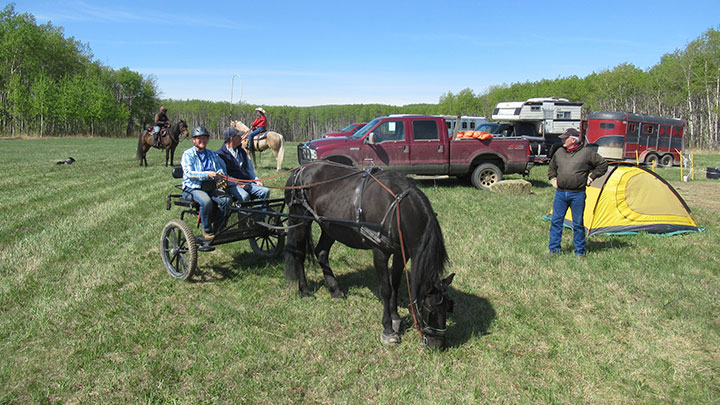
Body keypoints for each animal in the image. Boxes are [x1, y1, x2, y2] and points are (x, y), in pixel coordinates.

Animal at [284, 161, 452, 348]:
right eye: (429, 309)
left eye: (448, 307)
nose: (437, 344)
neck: (397, 210)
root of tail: (300, 170)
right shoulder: (380, 252)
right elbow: (386, 289)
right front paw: (388, 329)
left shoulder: (401, 253)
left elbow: (395, 284)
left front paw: (396, 318)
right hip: (300, 220)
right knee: (299, 254)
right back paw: (305, 291)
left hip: (330, 226)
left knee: (321, 252)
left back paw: (335, 289)